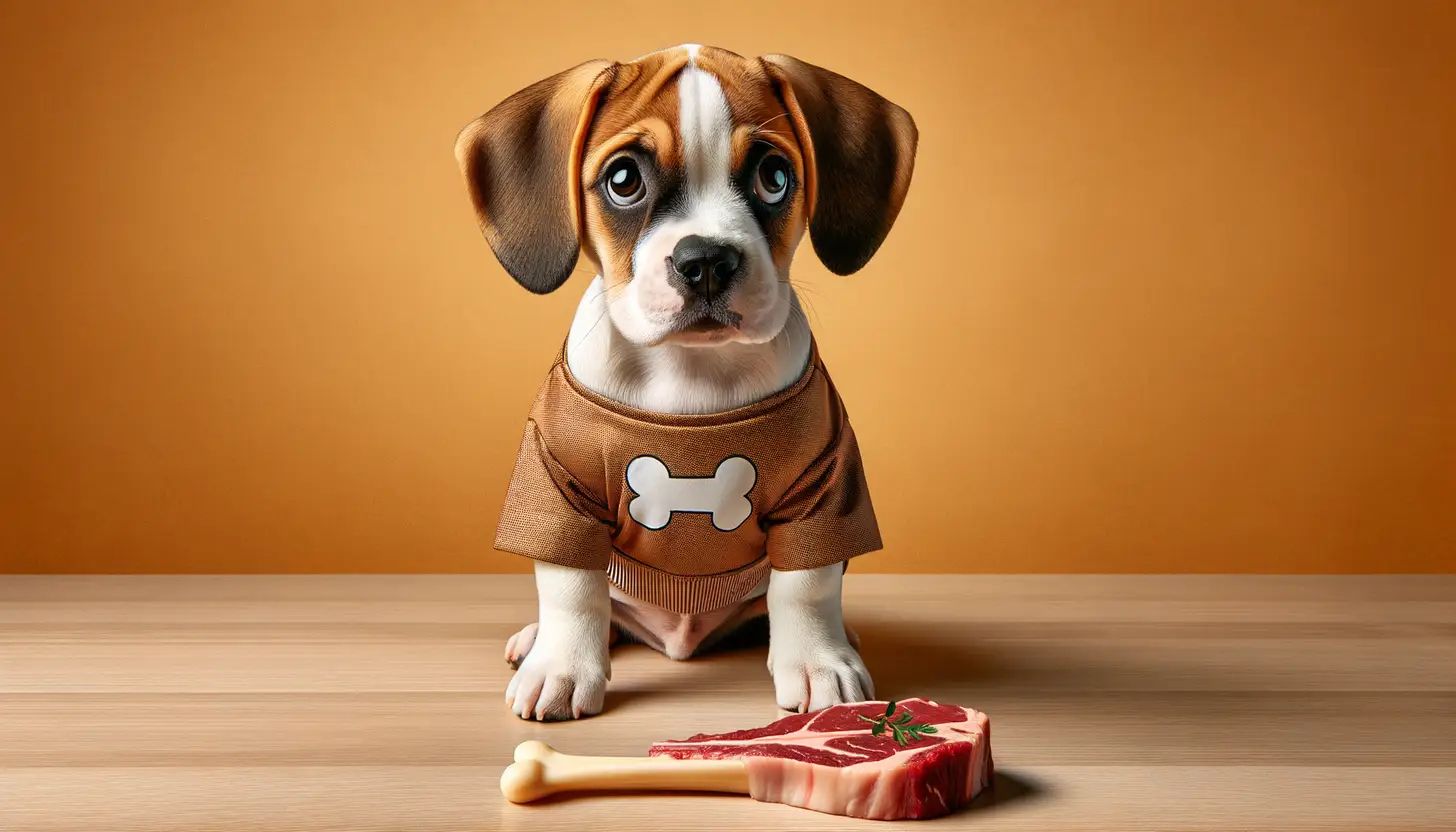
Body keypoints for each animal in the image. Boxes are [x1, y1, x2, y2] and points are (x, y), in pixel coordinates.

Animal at [454, 43, 914, 722]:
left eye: (774, 177)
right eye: (623, 180)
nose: (705, 261)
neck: (690, 370)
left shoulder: (824, 490)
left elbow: (805, 585)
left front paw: (818, 661)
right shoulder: (557, 485)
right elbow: (572, 587)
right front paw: (562, 665)